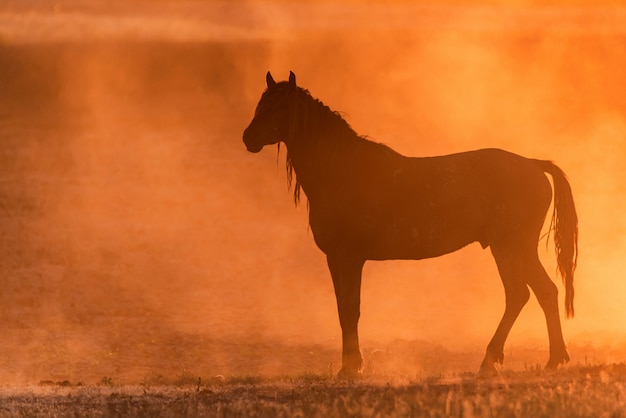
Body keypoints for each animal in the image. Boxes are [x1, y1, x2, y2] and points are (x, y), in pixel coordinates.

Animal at [241, 71, 576, 376]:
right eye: (261, 102)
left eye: (278, 106)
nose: (248, 138)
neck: (343, 170)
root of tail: (534, 165)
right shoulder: (336, 259)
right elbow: (343, 309)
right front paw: (351, 364)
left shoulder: (348, 257)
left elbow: (351, 308)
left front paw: (350, 367)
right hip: (522, 249)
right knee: (546, 292)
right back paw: (553, 360)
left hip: (507, 247)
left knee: (518, 295)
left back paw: (490, 360)